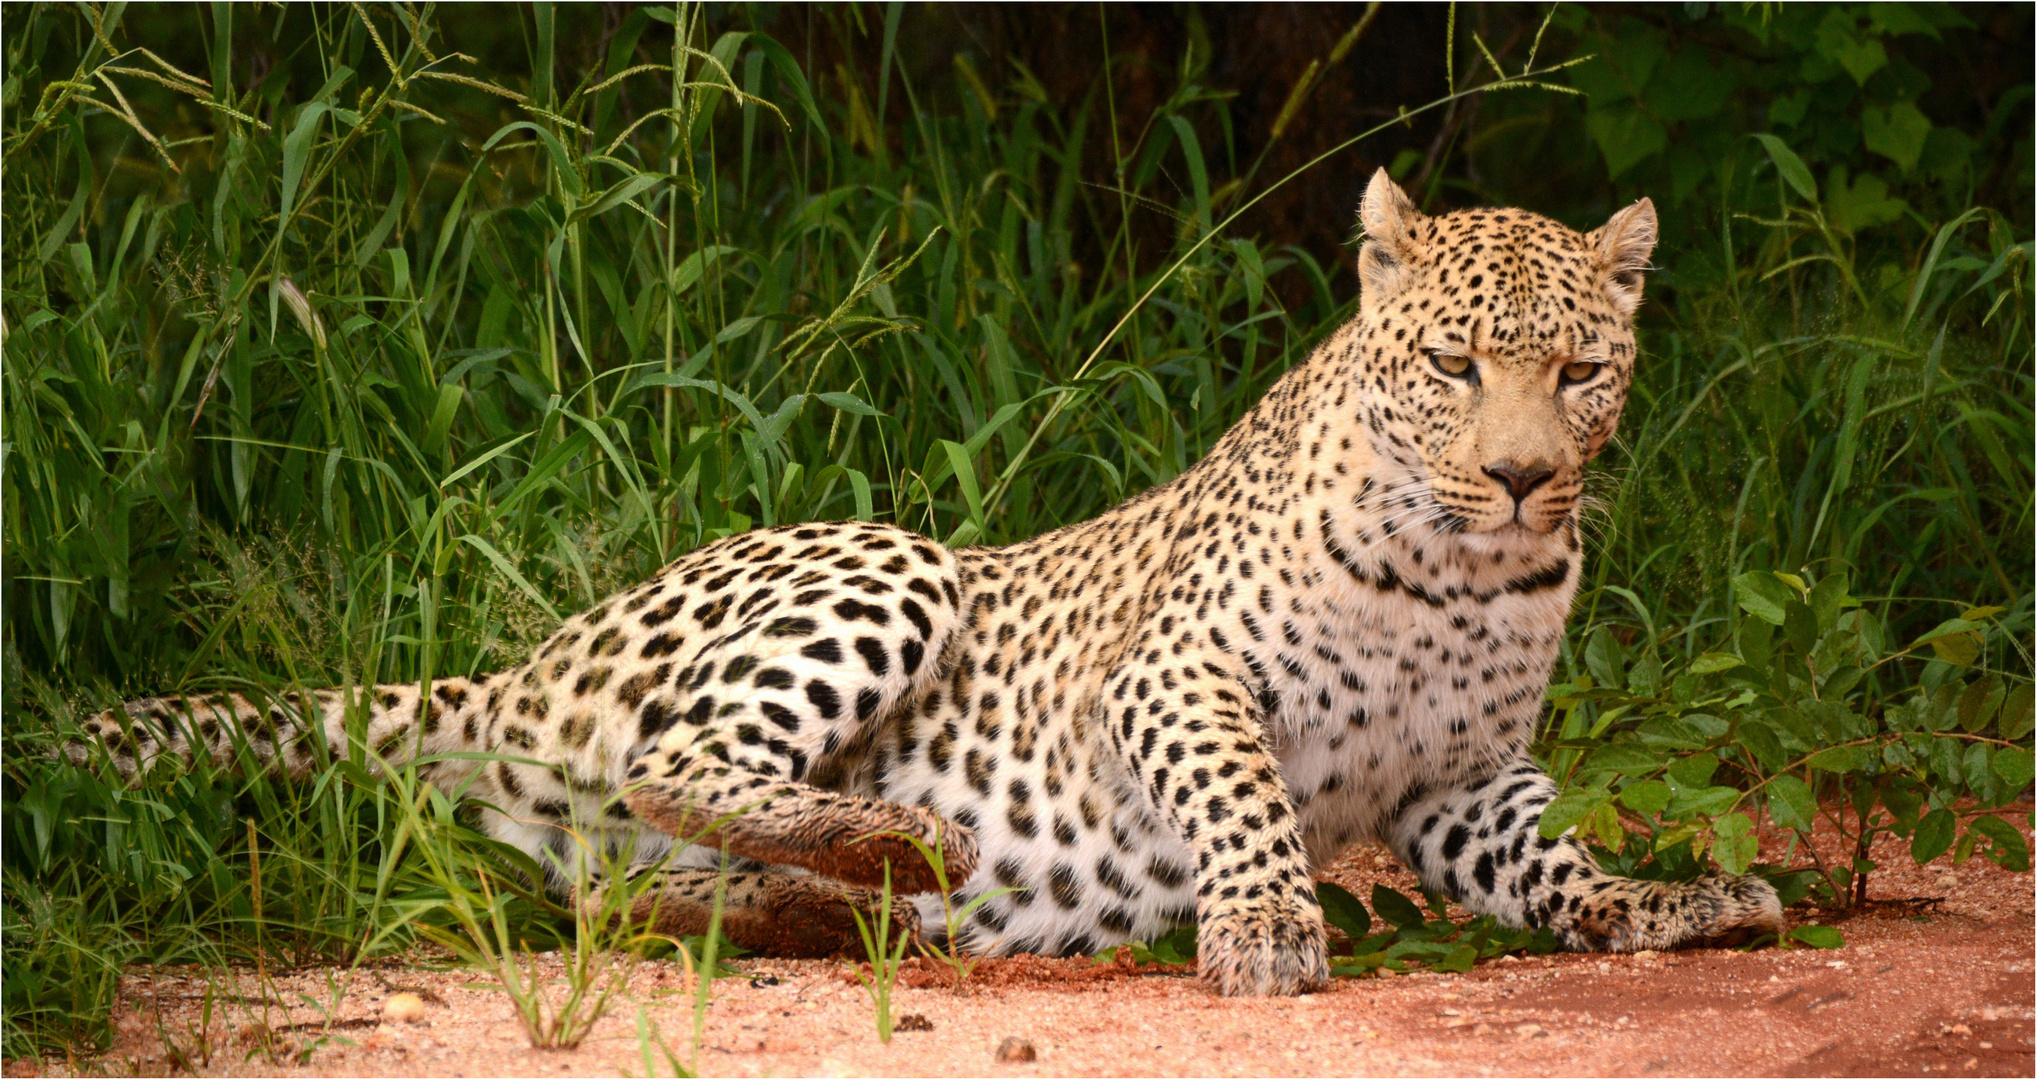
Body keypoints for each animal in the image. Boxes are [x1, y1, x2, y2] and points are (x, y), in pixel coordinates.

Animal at [67, 170, 1784, 990]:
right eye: (1452, 367)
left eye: (1580, 373)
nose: (1524, 477)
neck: (1459, 575)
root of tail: (526, 669)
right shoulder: (1172, 675)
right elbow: (1243, 793)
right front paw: (1263, 925)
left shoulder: (1460, 780)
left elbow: (1554, 867)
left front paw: (1665, 901)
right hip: (887, 561)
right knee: (682, 757)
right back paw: (892, 847)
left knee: (638, 884)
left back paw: (839, 908)